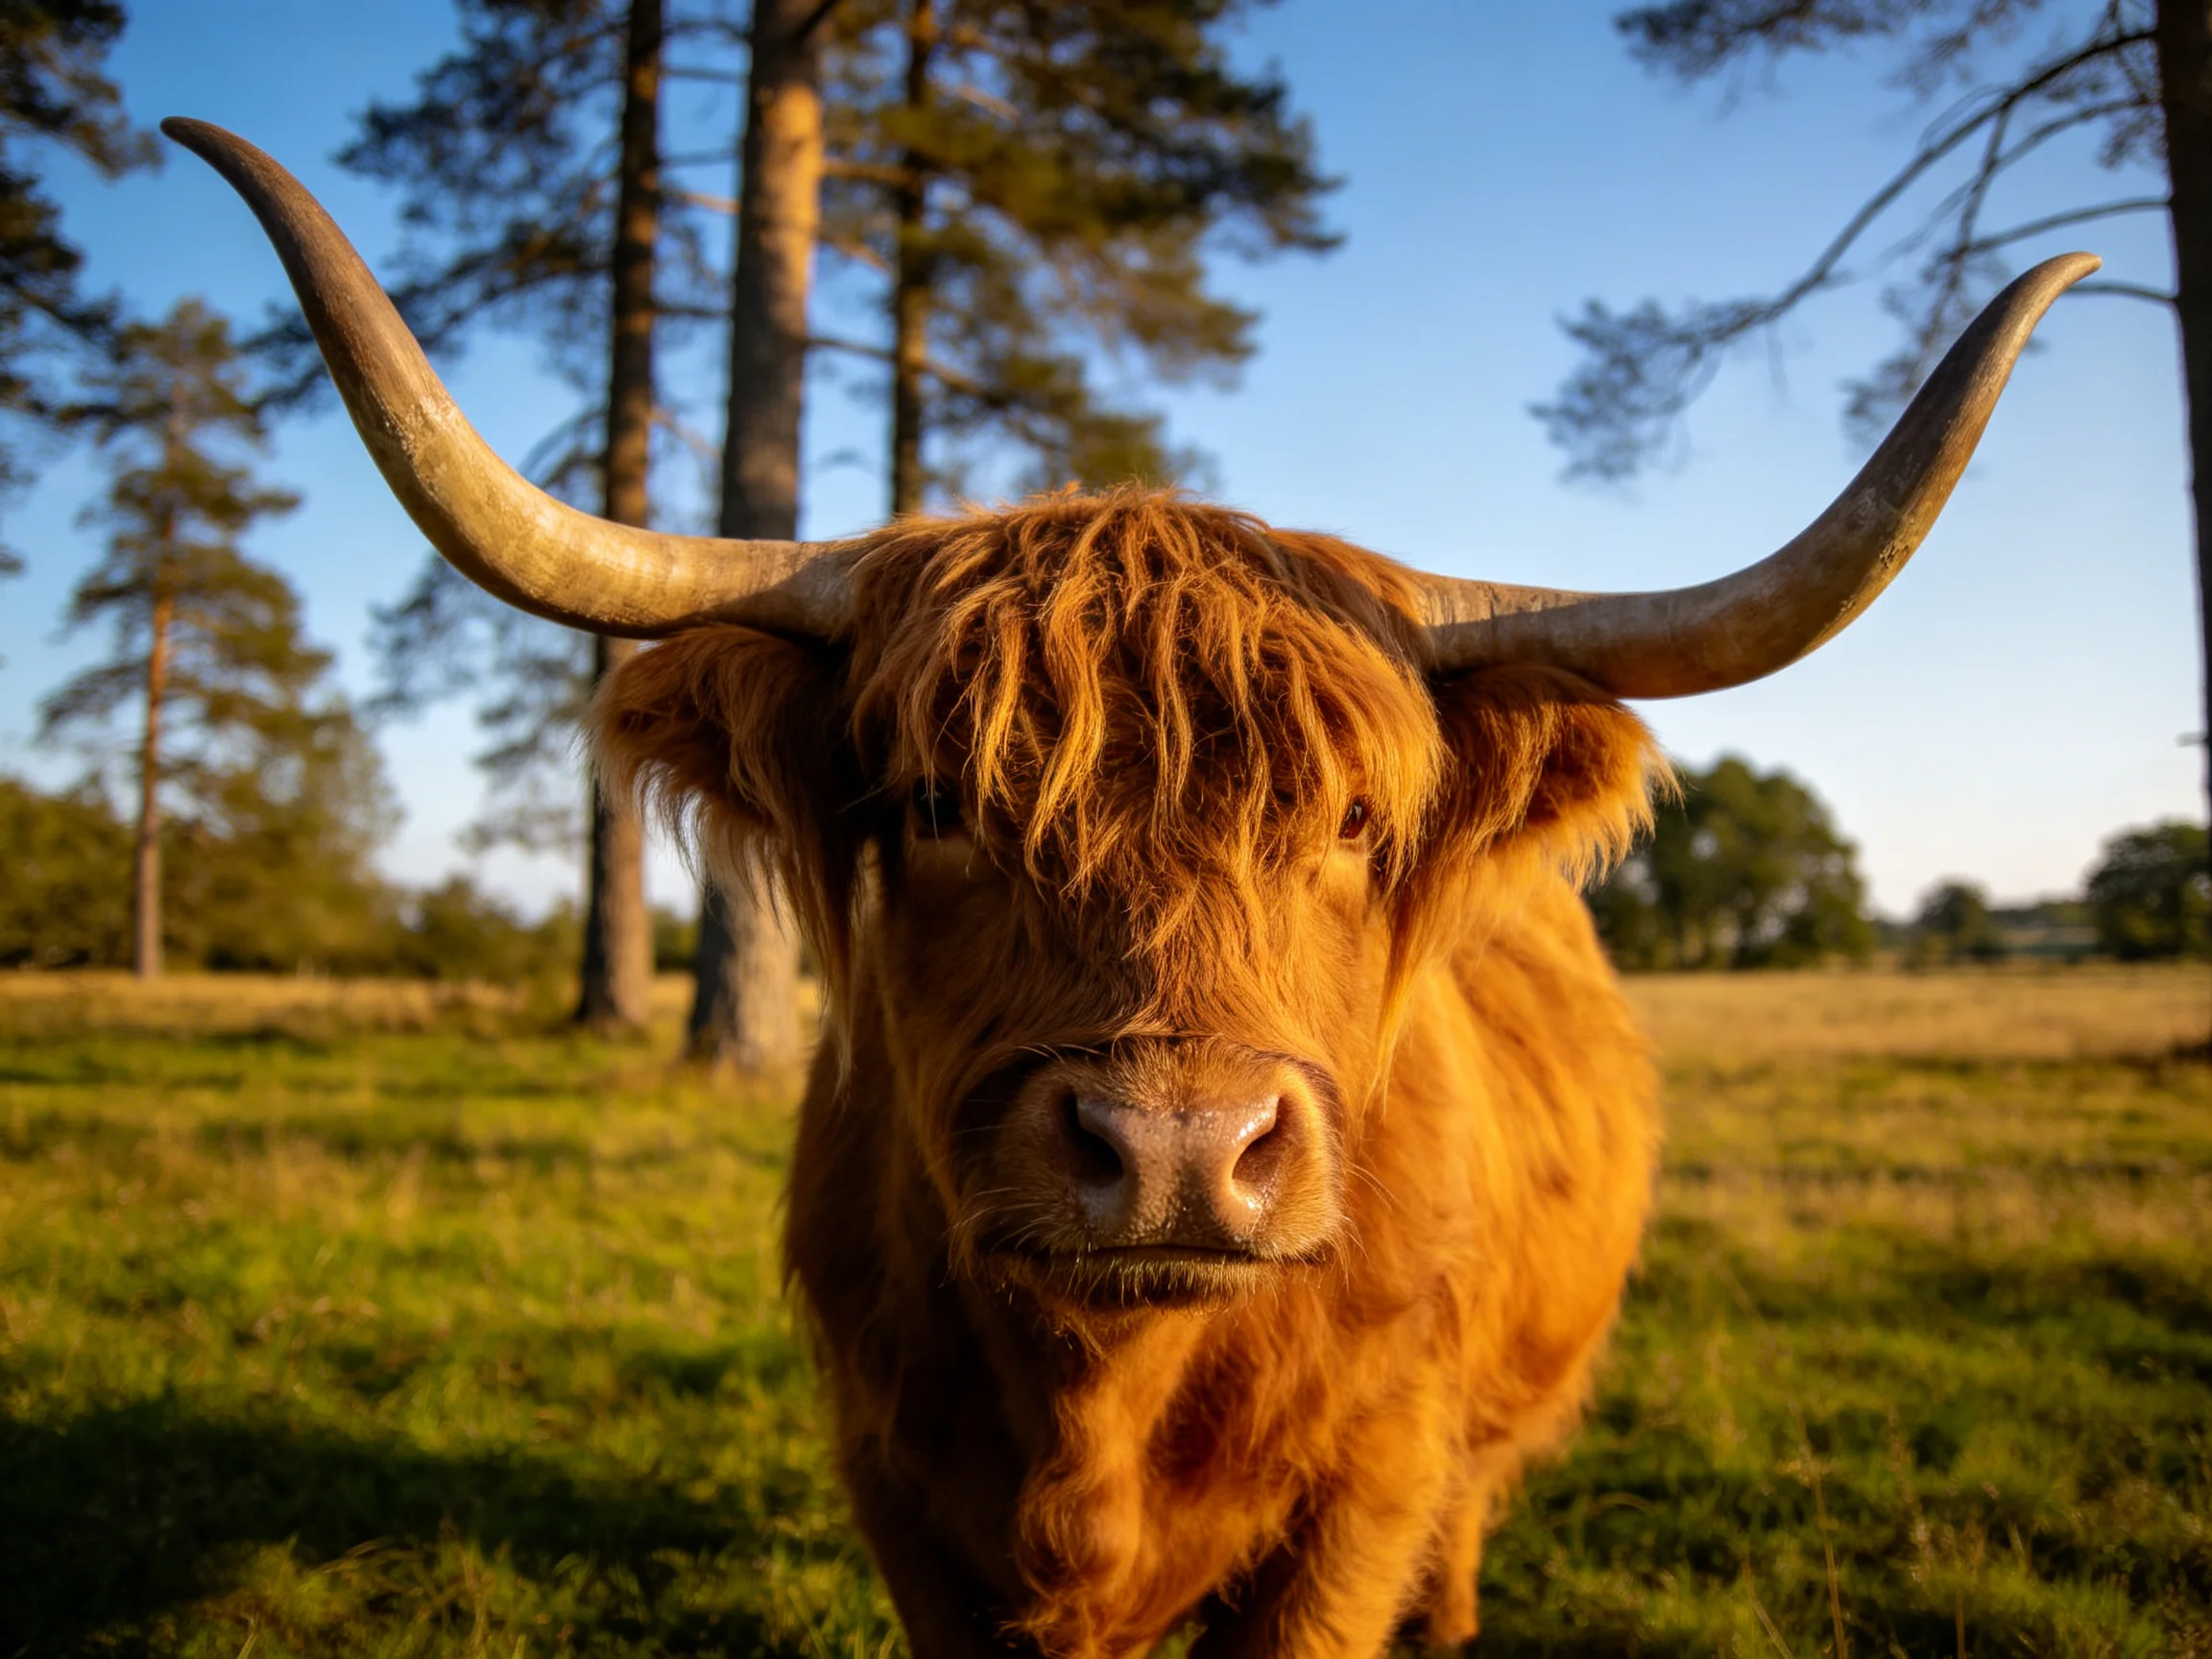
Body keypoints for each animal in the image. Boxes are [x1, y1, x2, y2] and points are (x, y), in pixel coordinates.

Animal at [165, 118, 2094, 1659]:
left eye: (1350, 819)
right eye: (937, 801)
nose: (1176, 1150)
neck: (1100, 1397)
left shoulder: (1361, 1498)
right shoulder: (901, 1492)